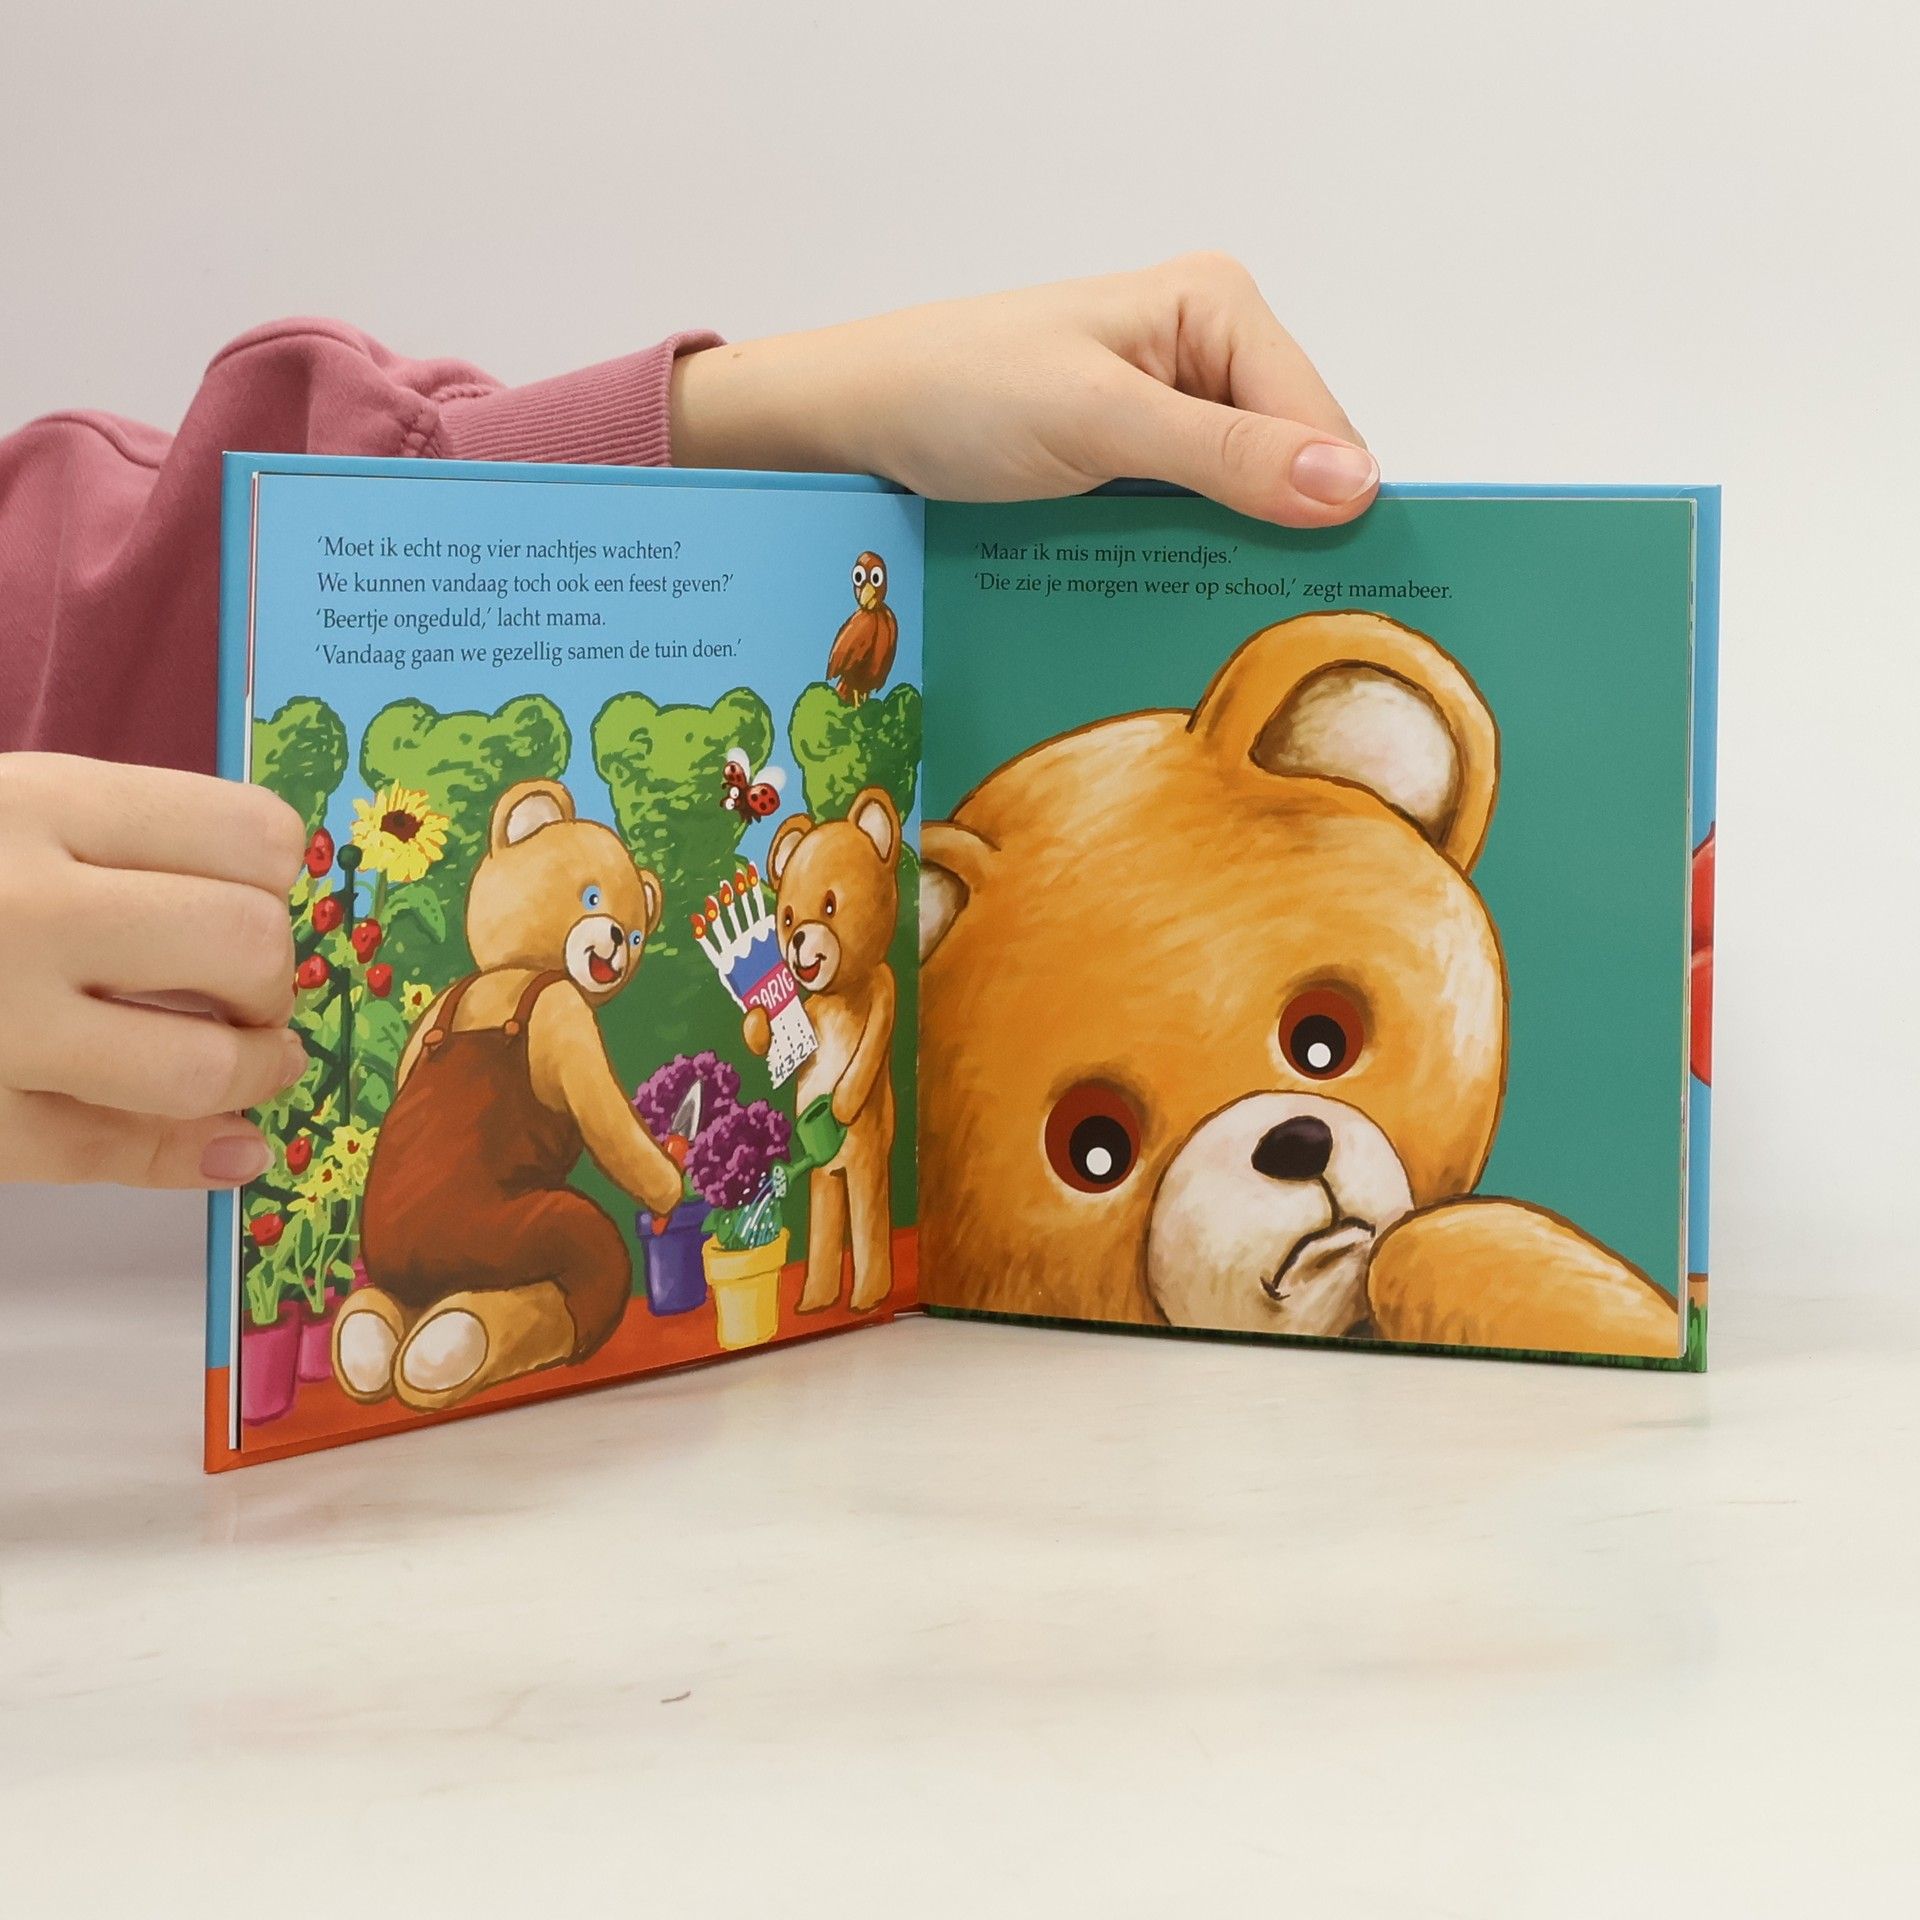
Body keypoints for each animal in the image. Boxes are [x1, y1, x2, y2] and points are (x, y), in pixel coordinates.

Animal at [337, 779, 686, 1412]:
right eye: (591, 897)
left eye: (637, 934)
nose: (619, 942)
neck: (512, 972)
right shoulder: (566, 1015)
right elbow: (612, 1127)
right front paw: (670, 1182)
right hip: (508, 1234)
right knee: (586, 1270)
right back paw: (449, 1347)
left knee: (390, 1301)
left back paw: (372, 1345)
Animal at [743, 787, 901, 1315]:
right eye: (788, 915)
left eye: (831, 906)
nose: (796, 942)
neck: (838, 995)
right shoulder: (809, 1007)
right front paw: (758, 1021)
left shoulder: (884, 989)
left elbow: (872, 1040)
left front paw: (843, 1102)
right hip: (823, 1176)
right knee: (826, 1210)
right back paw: (815, 1300)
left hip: (865, 1157)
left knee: (866, 1211)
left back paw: (867, 1296)